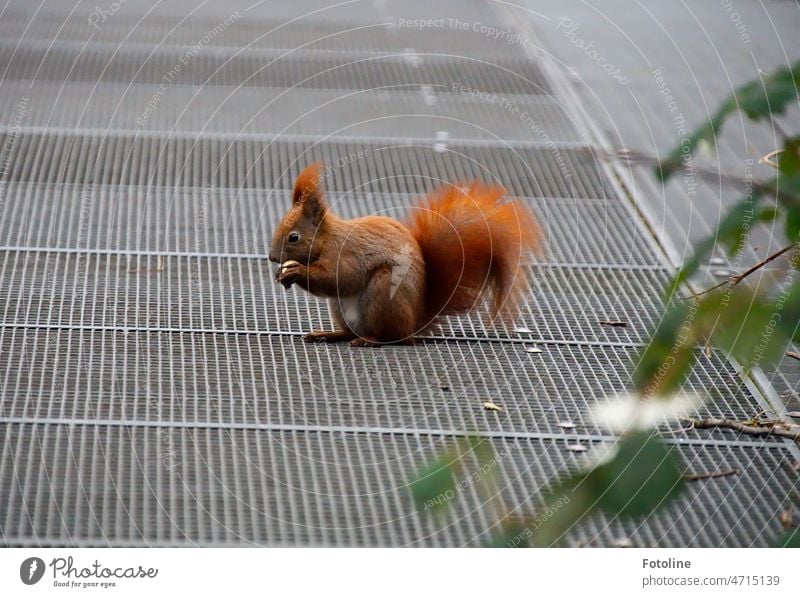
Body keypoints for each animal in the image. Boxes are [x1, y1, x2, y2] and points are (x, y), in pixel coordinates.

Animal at [270, 163, 544, 346]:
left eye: (294, 237)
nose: (272, 257)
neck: (327, 240)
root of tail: (413, 324)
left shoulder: (345, 253)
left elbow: (340, 278)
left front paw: (296, 271)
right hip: (340, 308)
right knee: (350, 332)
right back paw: (330, 334)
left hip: (384, 290)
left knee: (390, 336)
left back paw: (369, 340)